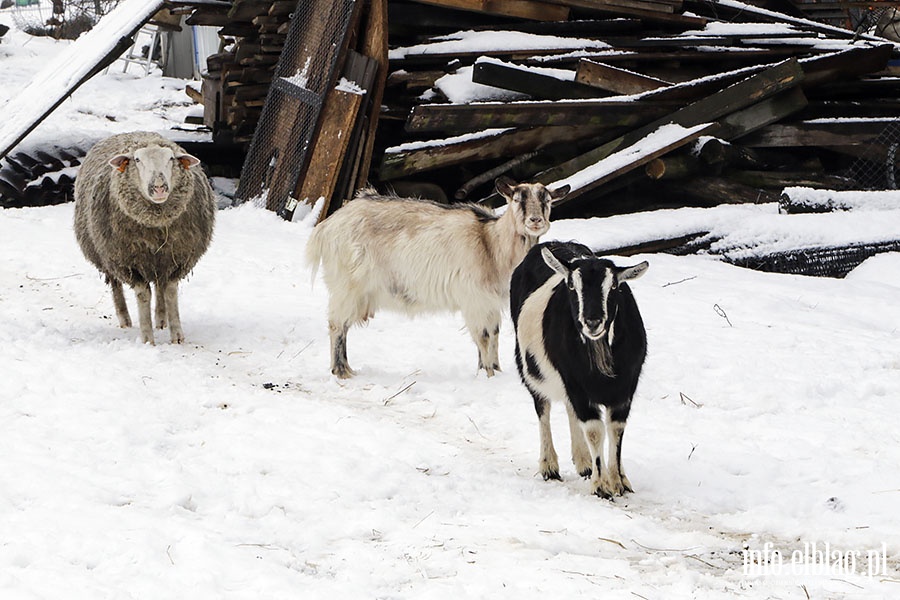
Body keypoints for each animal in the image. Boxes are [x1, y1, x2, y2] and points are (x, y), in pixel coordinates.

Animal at [306, 176, 568, 378]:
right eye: (517, 199)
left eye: (546, 200)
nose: (535, 221)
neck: (491, 242)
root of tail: (327, 227)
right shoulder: (474, 299)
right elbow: (483, 337)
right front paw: (488, 375)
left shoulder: (490, 302)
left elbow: (493, 336)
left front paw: (495, 370)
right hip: (347, 286)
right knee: (337, 325)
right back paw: (341, 371)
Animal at [510, 241, 652, 500]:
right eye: (571, 285)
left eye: (614, 286)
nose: (592, 322)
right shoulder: (574, 381)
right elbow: (595, 430)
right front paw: (601, 485)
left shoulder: (626, 387)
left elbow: (616, 429)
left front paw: (619, 481)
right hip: (531, 368)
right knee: (542, 408)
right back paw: (549, 466)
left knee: (569, 410)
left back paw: (583, 461)